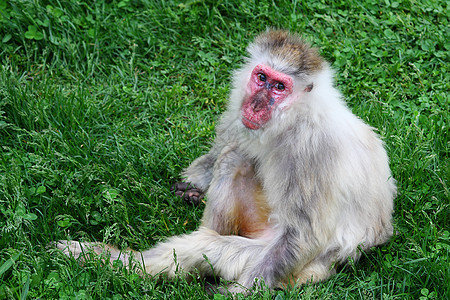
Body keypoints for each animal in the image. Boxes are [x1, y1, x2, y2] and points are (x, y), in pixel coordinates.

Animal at [57, 31, 398, 296]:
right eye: (261, 77)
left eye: (279, 87)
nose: (256, 104)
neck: (293, 118)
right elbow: (229, 145)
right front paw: (192, 185)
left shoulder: (311, 151)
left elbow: (304, 234)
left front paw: (241, 292)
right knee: (235, 157)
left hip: (287, 263)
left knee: (212, 247)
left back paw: (113, 261)